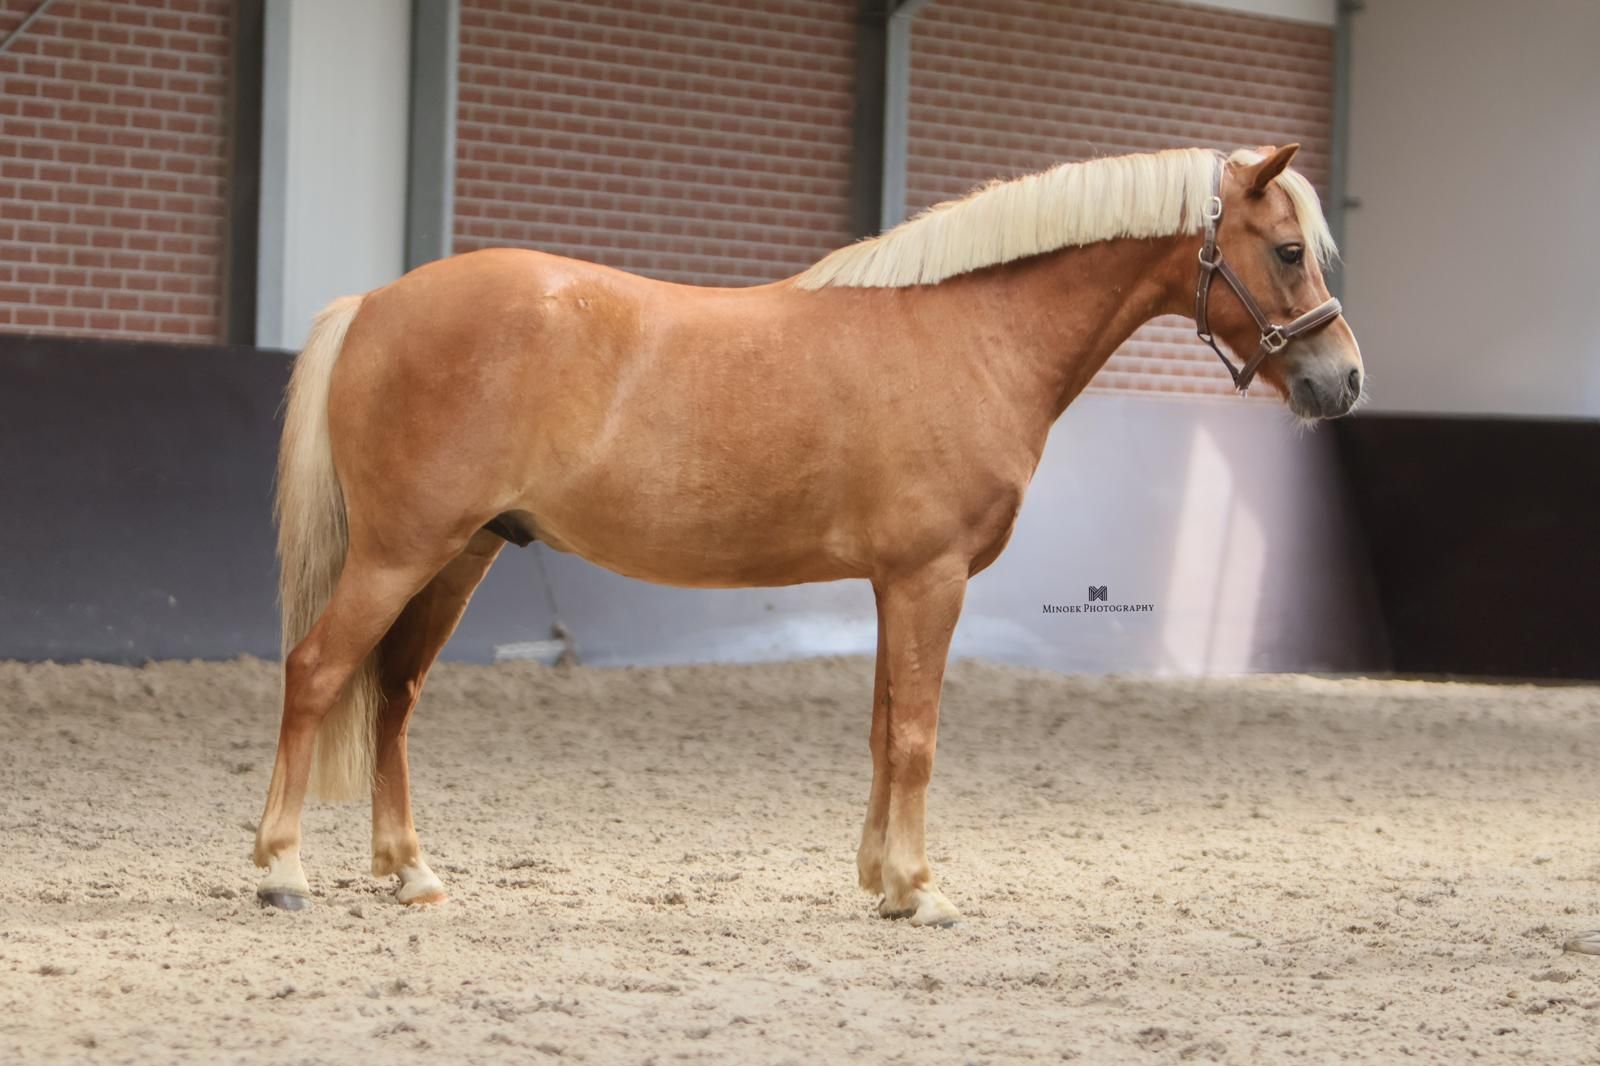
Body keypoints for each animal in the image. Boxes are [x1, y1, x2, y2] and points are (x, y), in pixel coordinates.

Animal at [252, 144, 1364, 925]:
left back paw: (411, 874)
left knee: (393, 694)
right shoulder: (930, 577)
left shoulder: (893, 582)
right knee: (316, 673)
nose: (1343, 381)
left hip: (461, 553)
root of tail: (372, 304)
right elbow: (915, 735)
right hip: (402, 551)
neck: (968, 334)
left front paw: (880, 879)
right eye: (1288, 251)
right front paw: (919, 888)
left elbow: (882, 728)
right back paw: (281, 869)